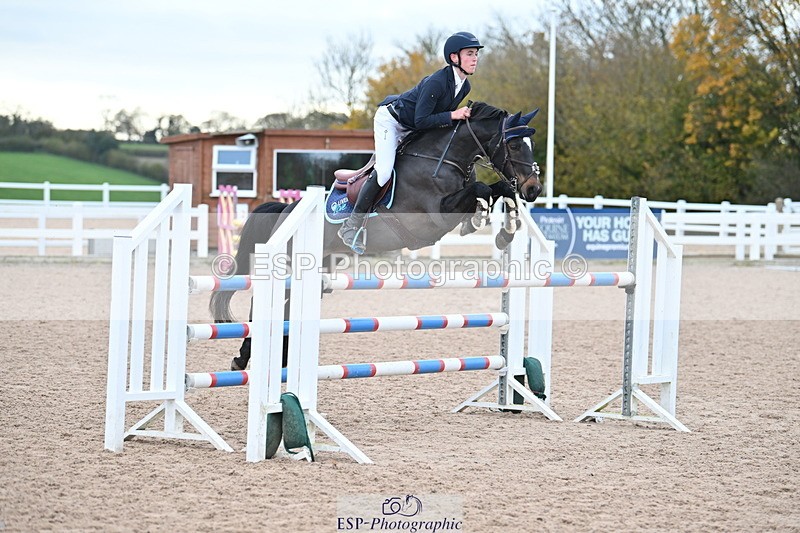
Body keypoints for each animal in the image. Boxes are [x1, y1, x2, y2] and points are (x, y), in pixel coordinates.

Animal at [210, 101, 542, 371]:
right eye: (514, 145)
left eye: (530, 143)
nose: (534, 188)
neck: (442, 160)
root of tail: (286, 209)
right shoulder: (435, 215)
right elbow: (481, 188)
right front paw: (479, 220)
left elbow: (501, 189)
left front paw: (505, 232)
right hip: (293, 268)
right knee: (262, 305)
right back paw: (243, 358)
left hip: (319, 270)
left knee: (288, 309)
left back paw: (277, 360)